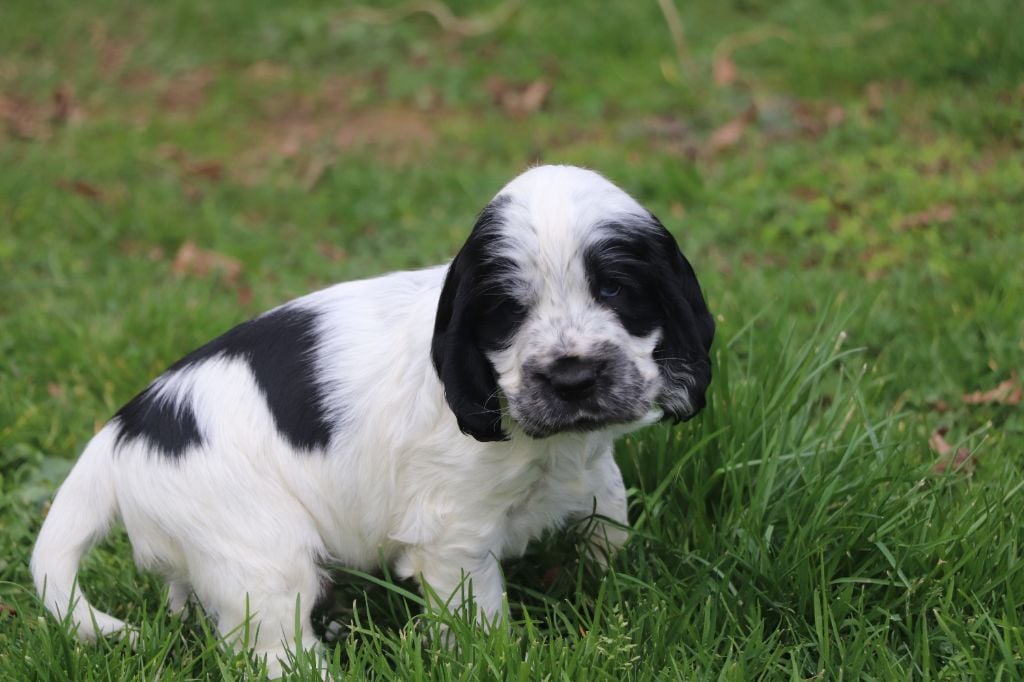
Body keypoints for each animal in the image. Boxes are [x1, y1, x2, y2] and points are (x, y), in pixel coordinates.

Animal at [29, 163, 712, 667]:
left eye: (615, 290)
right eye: (508, 312)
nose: (572, 378)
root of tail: (119, 435)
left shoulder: (589, 469)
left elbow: (609, 509)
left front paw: (612, 580)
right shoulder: (451, 536)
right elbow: (480, 618)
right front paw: (497, 658)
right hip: (259, 550)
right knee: (275, 647)